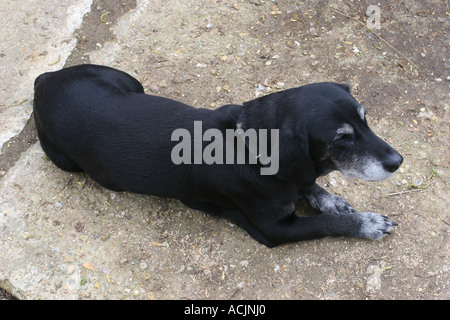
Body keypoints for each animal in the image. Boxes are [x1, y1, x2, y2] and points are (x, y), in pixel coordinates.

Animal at [33, 63, 402, 246]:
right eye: (341, 138)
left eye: (365, 120)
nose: (398, 162)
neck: (250, 148)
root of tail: (45, 79)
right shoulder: (274, 230)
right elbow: (325, 223)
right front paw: (366, 223)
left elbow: (310, 184)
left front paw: (329, 198)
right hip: (66, 161)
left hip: (130, 81)